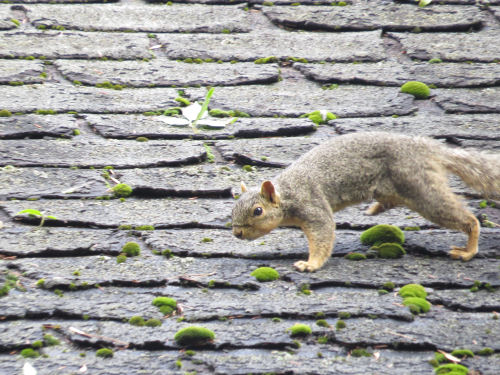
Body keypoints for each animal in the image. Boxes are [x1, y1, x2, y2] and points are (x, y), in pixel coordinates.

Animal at [231, 133, 500, 274]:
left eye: (258, 211)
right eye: (232, 209)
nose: (237, 233)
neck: (287, 192)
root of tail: (427, 147)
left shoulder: (312, 205)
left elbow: (323, 235)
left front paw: (310, 264)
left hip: (421, 188)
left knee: (467, 219)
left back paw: (468, 249)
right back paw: (376, 208)